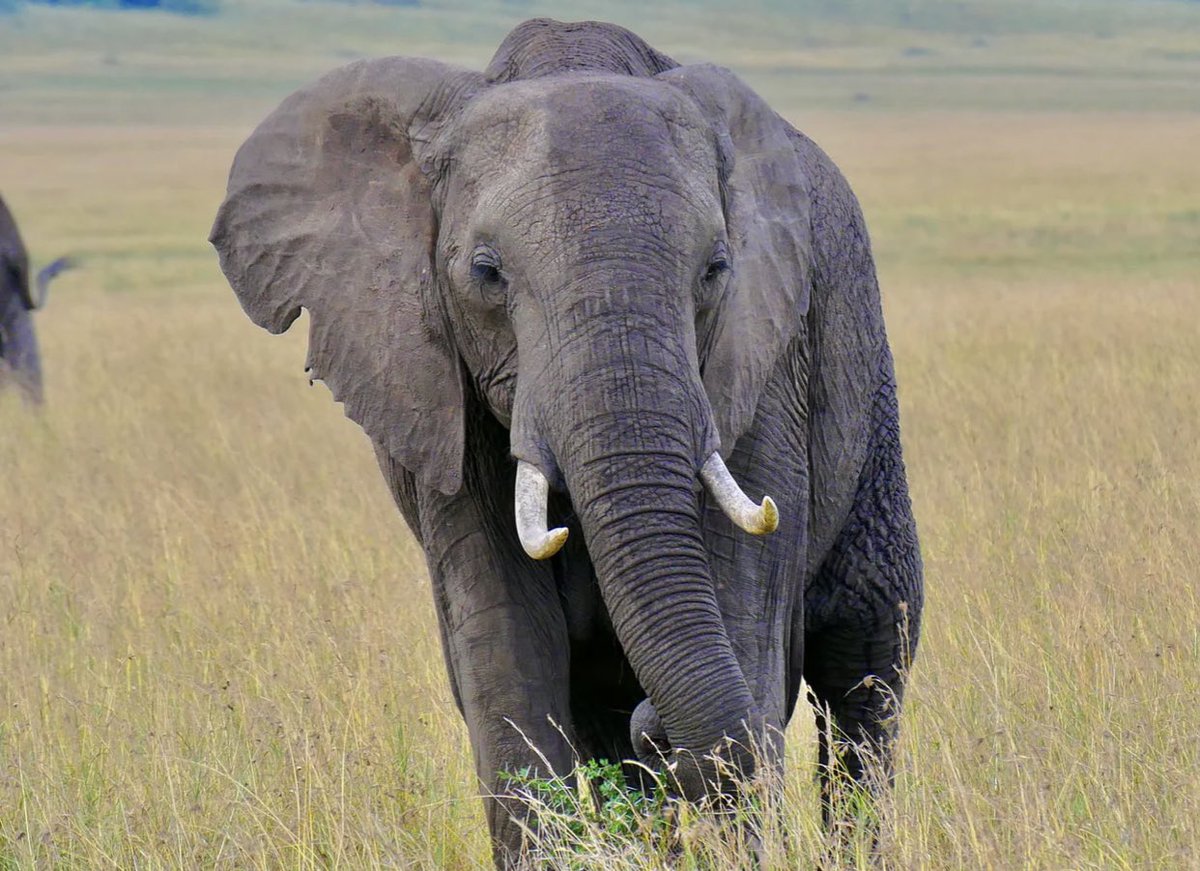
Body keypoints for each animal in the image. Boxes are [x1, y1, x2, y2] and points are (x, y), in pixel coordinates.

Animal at [211, 18, 923, 866]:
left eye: (716, 269)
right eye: (486, 272)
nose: (659, 728)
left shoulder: (767, 366)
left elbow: (745, 635)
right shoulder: (437, 385)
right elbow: (509, 654)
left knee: (864, 663)